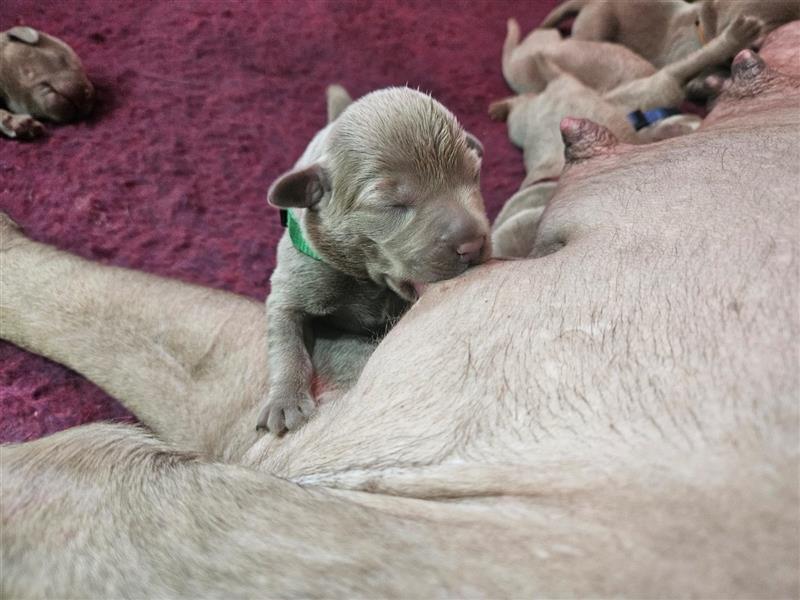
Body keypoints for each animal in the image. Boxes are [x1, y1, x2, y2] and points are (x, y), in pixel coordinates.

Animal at [256, 84, 488, 434]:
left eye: (474, 176)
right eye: (393, 204)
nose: (473, 245)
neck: (364, 277)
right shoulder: (294, 283)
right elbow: (285, 340)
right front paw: (286, 400)